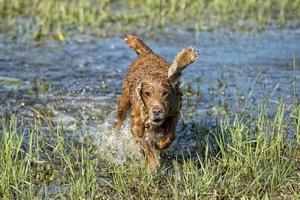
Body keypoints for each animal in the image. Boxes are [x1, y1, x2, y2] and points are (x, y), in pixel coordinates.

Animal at [114, 34, 197, 172]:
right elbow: (145, 144)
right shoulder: (137, 123)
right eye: (147, 93)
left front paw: (159, 144)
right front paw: (152, 163)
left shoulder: (174, 113)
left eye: (165, 93)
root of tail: (147, 53)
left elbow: (170, 136)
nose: (157, 111)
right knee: (118, 121)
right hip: (124, 101)